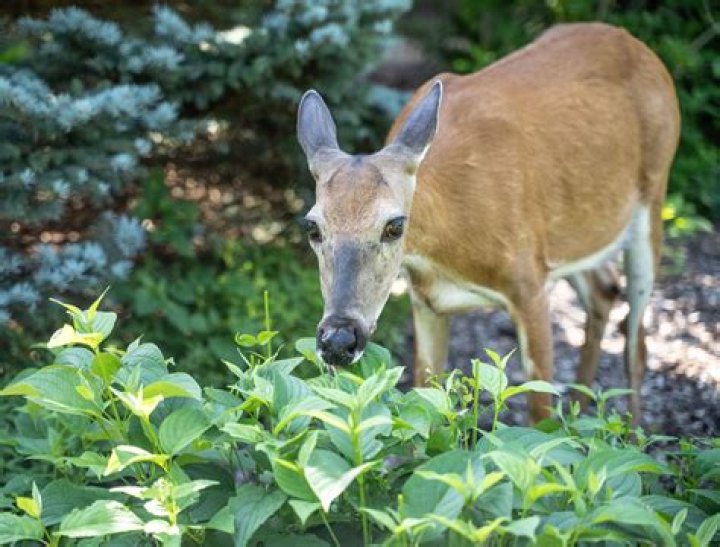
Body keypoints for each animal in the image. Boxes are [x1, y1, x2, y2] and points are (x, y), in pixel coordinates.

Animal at [296, 23, 680, 422]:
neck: (447, 248)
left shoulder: (530, 285)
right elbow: (425, 401)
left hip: (653, 198)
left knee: (637, 344)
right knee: (604, 290)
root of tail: (639, 46)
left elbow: (539, 414)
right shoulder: (425, 300)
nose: (338, 340)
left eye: (394, 225)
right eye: (312, 227)